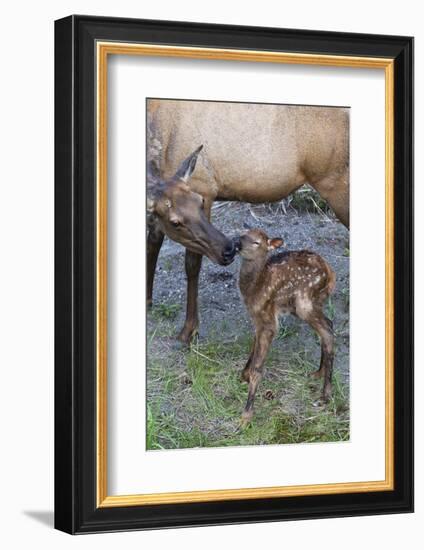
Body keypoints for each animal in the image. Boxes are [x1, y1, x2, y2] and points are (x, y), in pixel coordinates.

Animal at [146, 97, 348, 342]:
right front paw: (147, 302)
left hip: (336, 183)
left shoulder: (204, 186)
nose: (229, 250)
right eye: (174, 222)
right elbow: (152, 242)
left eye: (199, 202)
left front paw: (188, 330)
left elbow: (192, 264)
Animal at [235, 231, 334, 424]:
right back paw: (318, 373)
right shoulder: (257, 319)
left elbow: (258, 367)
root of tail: (330, 273)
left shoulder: (268, 319)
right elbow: (253, 346)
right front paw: (244, 375)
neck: (254, 288)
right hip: (307, 304)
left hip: (304, 303)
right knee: (328, 325)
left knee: (327, 332)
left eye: (256, 242)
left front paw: (246, 415)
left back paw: (324, 396)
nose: (236, 244)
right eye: (243, 234)